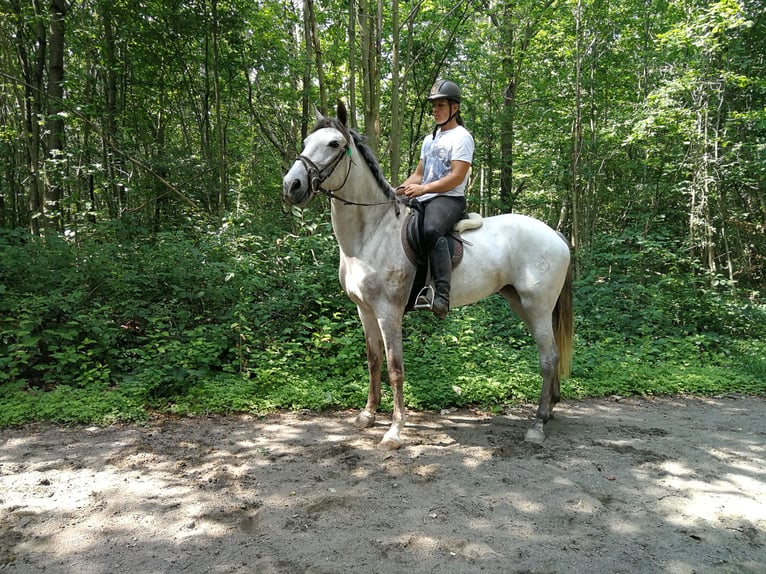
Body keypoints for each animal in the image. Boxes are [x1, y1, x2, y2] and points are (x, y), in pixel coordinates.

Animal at [284, 104, 572, 454]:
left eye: (334, 144)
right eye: (307, 141)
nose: (292, 185)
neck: (373, 232)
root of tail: (555, 235)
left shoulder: (388, 312)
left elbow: (395, 368)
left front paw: (394, 431)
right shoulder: (364, 310)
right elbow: (373, 360)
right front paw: (367, 415)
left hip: (538, 306)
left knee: (549, 357)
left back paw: (538, 424)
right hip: (521, 302)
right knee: (551, 353)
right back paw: (551, 409)